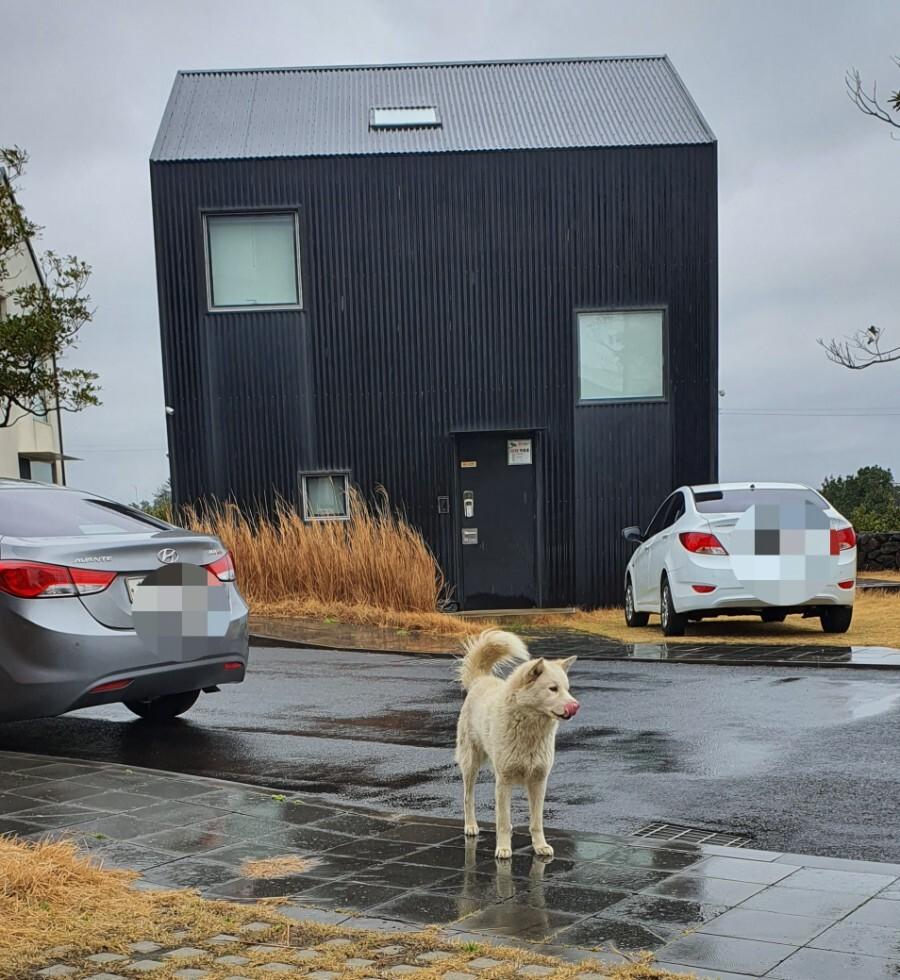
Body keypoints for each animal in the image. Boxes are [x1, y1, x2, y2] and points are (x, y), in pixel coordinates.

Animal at [458, 628, 576, 856]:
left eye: (567, 689)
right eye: (553, 689)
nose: (575, 705)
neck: (529, 728)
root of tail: (481, 679)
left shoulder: (539, 781)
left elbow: (536, 822)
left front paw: (540, 846)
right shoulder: (504, 781)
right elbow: (503, 820)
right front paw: (504, 849)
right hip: (470, 764)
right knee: (468, 797)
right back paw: (471, 826)